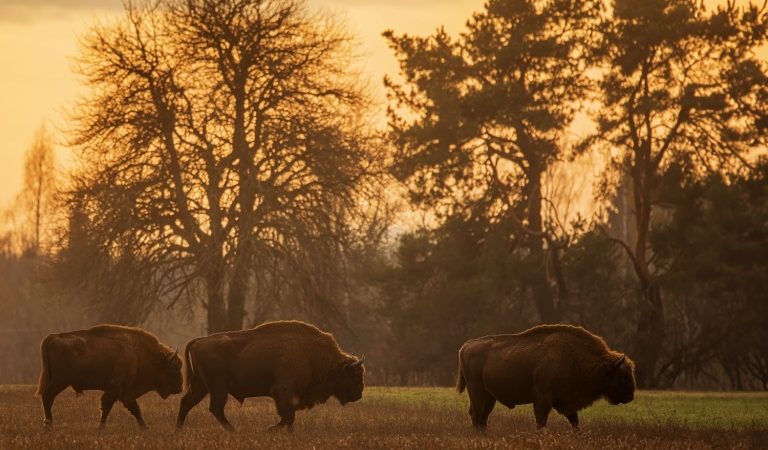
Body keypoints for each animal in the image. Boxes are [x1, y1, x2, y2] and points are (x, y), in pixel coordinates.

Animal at [35, 326, 183, 428]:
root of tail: (52, 337)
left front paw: (145, 428)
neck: (137, 355)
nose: (180, 388)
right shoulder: (115, 390)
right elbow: (106, 408)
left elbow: (135, 409)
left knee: (47, 398)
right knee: (47, 397)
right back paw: (48, 424)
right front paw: (100, 427)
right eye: (174, 369)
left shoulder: (125, 392)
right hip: (59, 381)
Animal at [177, 320, 366, 432]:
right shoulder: (283, 393)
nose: (358, 395)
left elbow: (290, 418)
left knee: (187, 403)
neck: (315, 355)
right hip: (217, 388)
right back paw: (234, 431)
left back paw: (179, 429)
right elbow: (287, 416)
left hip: (201, 386)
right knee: (215, 409)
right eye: (355, 376)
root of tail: (200, 340)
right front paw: (268, 430)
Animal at [456, 324, 636, 428]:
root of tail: (466, 345)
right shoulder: (543, 398)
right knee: (477, 415)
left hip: (489, 396)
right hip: (477, 393)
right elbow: (541, 421)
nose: (630, 396)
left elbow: (574, 420)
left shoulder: (565, 403)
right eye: (623, 377)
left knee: (482, 417)